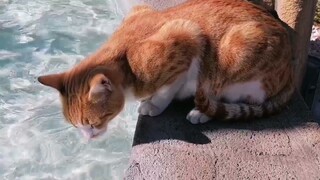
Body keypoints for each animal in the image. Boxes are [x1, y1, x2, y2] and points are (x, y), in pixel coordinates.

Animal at [38, 0, 296, 139]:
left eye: (92, 124)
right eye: (76, 126)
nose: (87, 137)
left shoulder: (187, 38)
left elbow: (168, 89)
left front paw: (153, 105)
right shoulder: (141, 9)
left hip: (238, 53)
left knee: (238, 99)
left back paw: (201, 112)